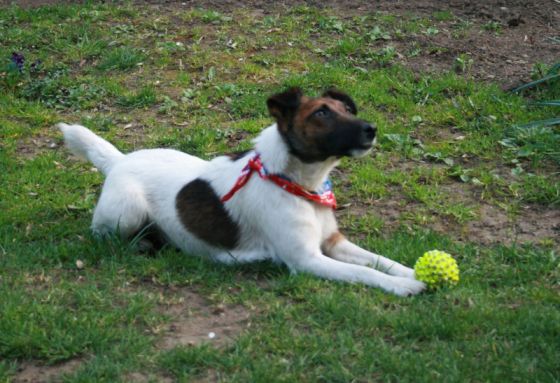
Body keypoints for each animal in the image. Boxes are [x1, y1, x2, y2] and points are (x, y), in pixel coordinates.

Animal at [58, 88, 424, 296]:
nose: (372, 129)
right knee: (102, 234)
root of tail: (119, 160)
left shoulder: (334, 242)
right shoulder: (306, 260)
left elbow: (379, 260)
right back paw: (144, 243)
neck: (296, 183)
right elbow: (364, 272)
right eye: (322, 113)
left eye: (347, 109)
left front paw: (412, 272)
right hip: (126, 212)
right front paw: (404, 286)